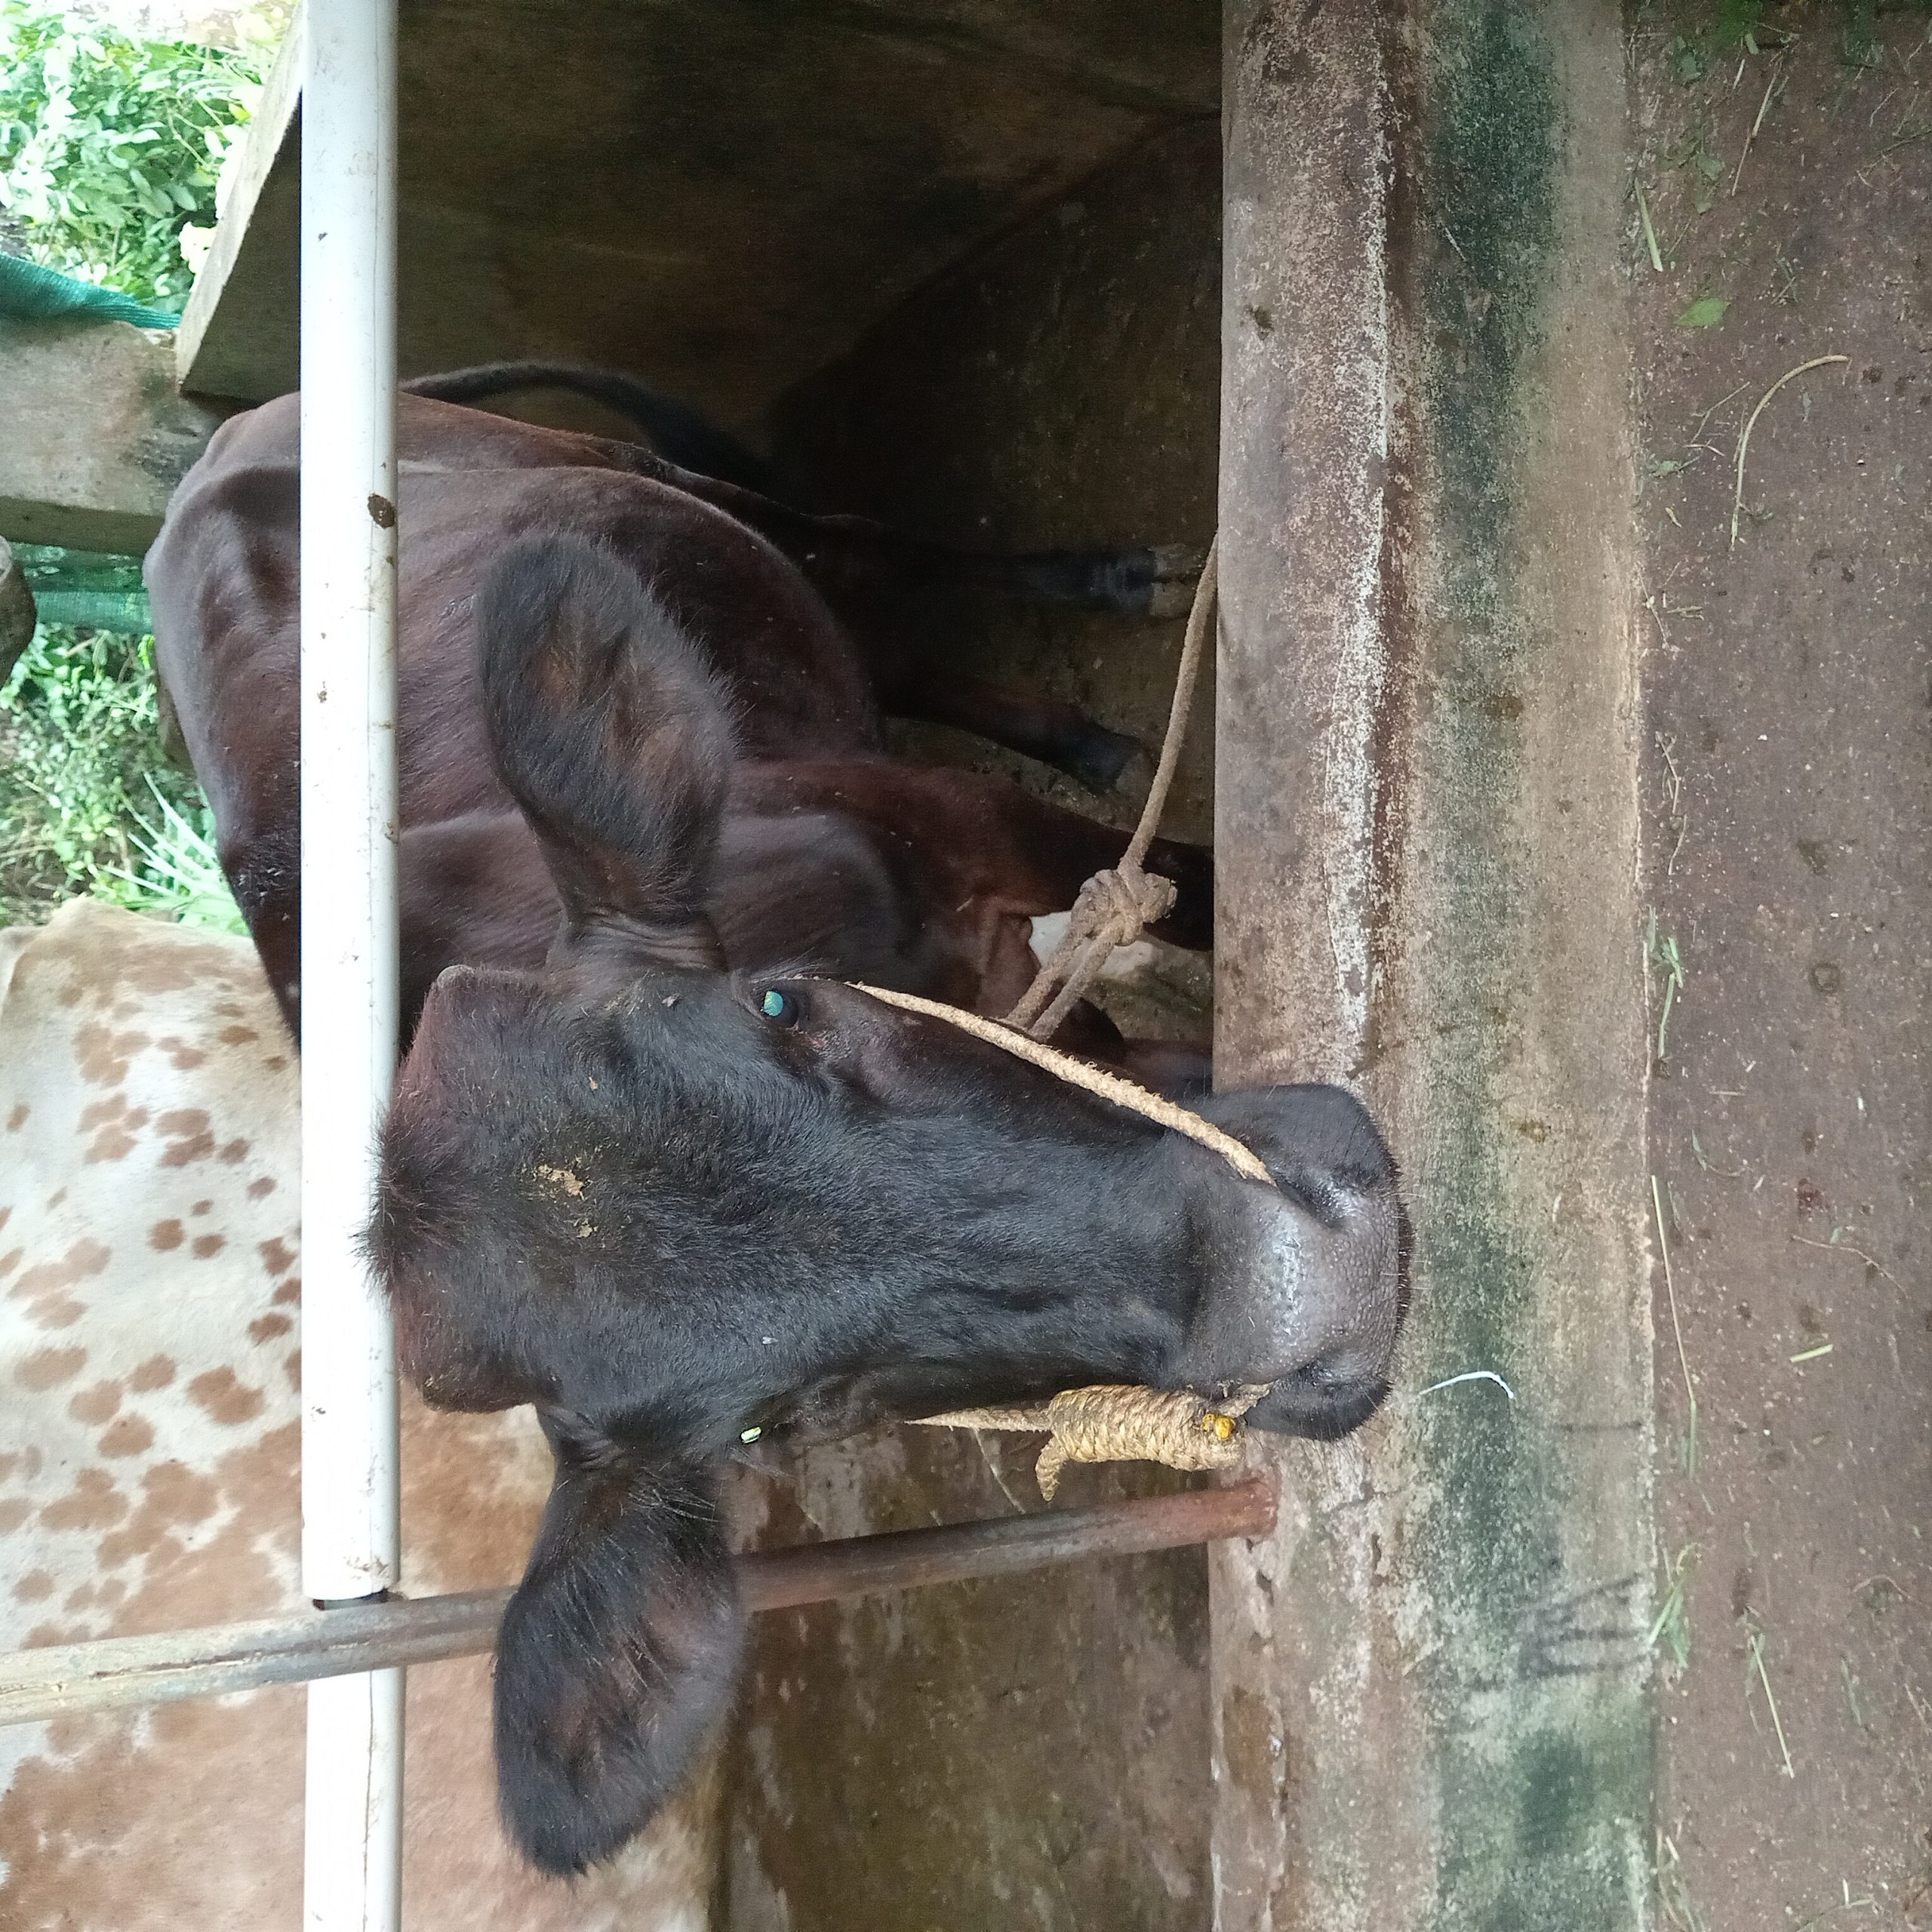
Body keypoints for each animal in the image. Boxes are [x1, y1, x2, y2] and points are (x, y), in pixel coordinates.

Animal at [145, 368, 1215, 1086]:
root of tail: (220, 445)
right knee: (876, 643)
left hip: (604, 460)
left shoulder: (962, 821)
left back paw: (1129, 587)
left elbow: (1193, 889)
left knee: (859, 545)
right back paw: (1089, 740)